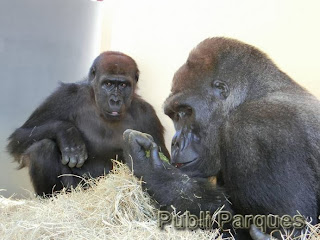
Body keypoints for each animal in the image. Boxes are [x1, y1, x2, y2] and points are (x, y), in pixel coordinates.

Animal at [6, 50, 170, 195]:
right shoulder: (66, 95)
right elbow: (19, 136)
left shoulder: (148, 115)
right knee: (42, 147)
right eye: (108, 84)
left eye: (123, 85)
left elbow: (163, 162)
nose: (115, 101)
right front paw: (68, 134)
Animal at [122, 38, 320, 239]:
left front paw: (154, 172)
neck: (248, 97)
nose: (175, 142)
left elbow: (290, 230)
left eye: (186, 112)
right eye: (174, 115)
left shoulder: (256, 130)